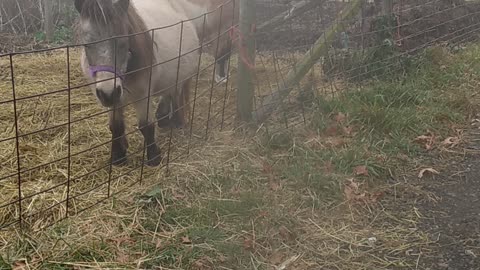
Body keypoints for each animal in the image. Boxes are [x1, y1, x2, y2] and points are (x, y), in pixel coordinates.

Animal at [74, 0, 198, 166]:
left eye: (123, 42)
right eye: (87, 45)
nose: (108, 93)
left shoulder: (143, 95)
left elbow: (146, 126)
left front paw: (154, 157)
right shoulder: (112, 100)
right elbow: (116, 126)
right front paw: (118, 157)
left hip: (179, 77)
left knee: (175, 94)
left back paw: (176, 121)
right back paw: (164, 118)